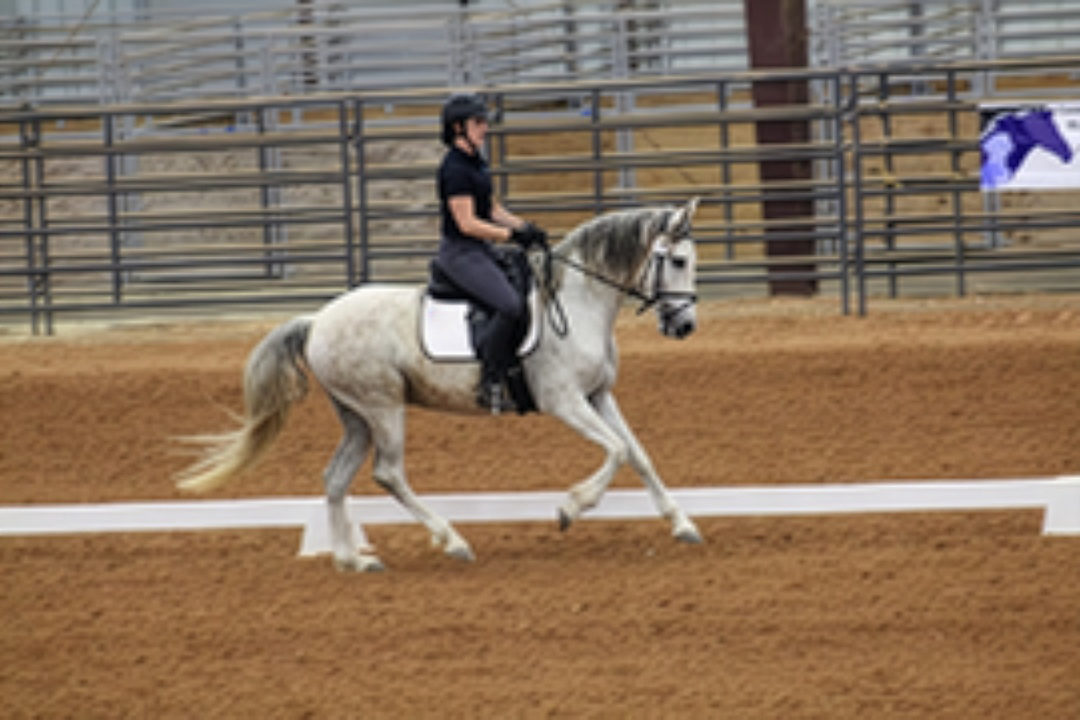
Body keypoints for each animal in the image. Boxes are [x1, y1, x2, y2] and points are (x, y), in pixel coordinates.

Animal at [175, 198, 703, 571]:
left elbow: (637, 453)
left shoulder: (598, 395)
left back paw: (352, 560)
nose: (684, 327)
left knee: (335, 478)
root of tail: (317, 320)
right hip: (384, 407)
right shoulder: (565, 401)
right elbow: (615, 449)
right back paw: (452, 541)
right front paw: (570, 508)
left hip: (357, 416)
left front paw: (683, 524)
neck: (577, 301)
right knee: (388, 474)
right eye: (678, 261)